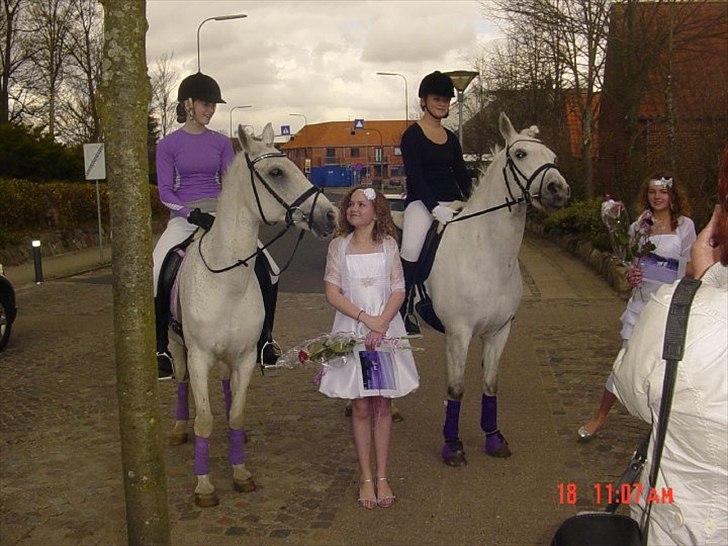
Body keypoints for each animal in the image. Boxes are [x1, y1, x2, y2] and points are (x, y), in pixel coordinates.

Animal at [168, 122, 338, 502]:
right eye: (276, 172)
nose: (331, 215)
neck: (225, 281)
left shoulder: (245, 355)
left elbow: (235, 415)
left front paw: (240, 472)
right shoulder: (199, 356)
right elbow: (205, 420)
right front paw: (204, 486)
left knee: (225, 385)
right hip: (176, 345)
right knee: (182, 382)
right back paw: (179, 429)